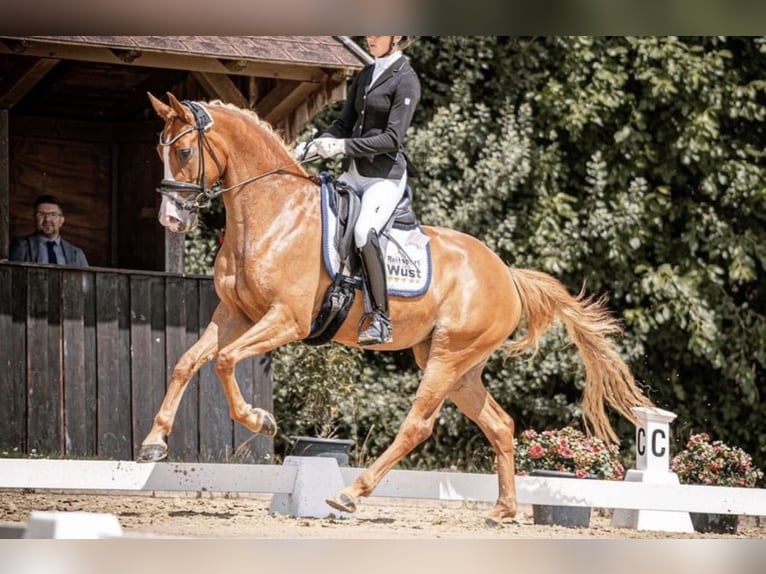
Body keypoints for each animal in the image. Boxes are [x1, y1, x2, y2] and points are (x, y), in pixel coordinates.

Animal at [138, 92, 654, 526]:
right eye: (160, 151)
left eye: (184, 153)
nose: (170, 219)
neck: (273, 215)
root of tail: (506, 273)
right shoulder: (234, 315)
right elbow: (187, 362)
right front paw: (153, 444)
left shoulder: (285, 320)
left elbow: (225, 360)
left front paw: (261, 419)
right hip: (458, 365)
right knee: (500, 425)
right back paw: (501, 511)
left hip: (447, 357)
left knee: (418, 425)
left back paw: (349, 494)